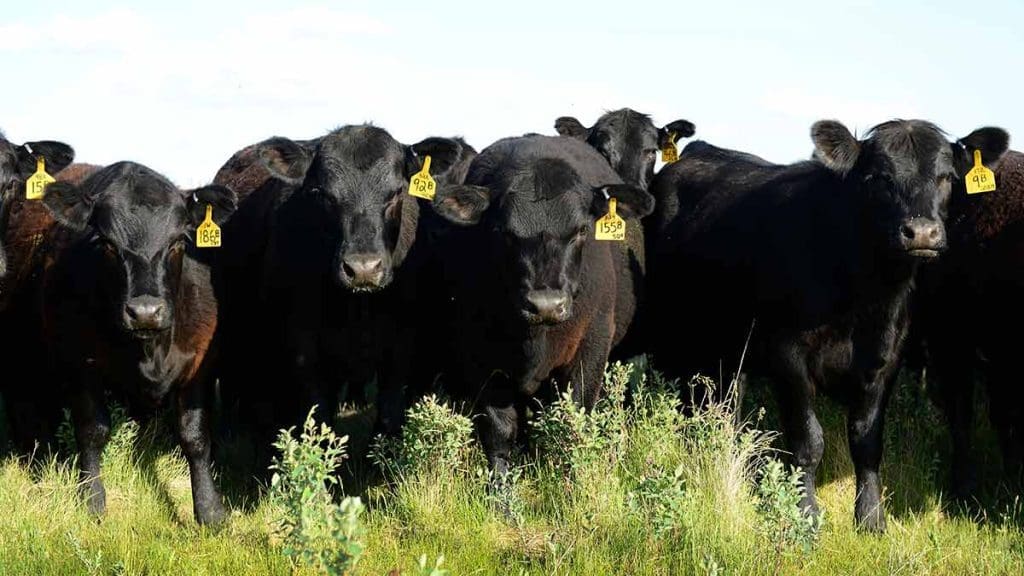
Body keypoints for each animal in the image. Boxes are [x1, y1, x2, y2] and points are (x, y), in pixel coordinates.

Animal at [31, 161, 236, 525]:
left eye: (178, 241)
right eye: (107, 244)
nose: (145, 312)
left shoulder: (200, 363)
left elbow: (195, 436)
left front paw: (210, 511)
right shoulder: (79, 363)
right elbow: (92, 430)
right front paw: (92, 500)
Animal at [216, 125, 487, 459]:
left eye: (397, 192)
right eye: (322, 194)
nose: (363, 269)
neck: (357, 310)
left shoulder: (402, 346)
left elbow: (389, 413)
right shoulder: (304, 348)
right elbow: (318, 417)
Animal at [438, 134, 654, 476]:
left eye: (581, 230)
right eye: (502, 232)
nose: (546, 305)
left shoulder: (592, 344)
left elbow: (576, 417)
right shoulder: (477, 353)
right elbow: (499, 430)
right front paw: (501, 488)